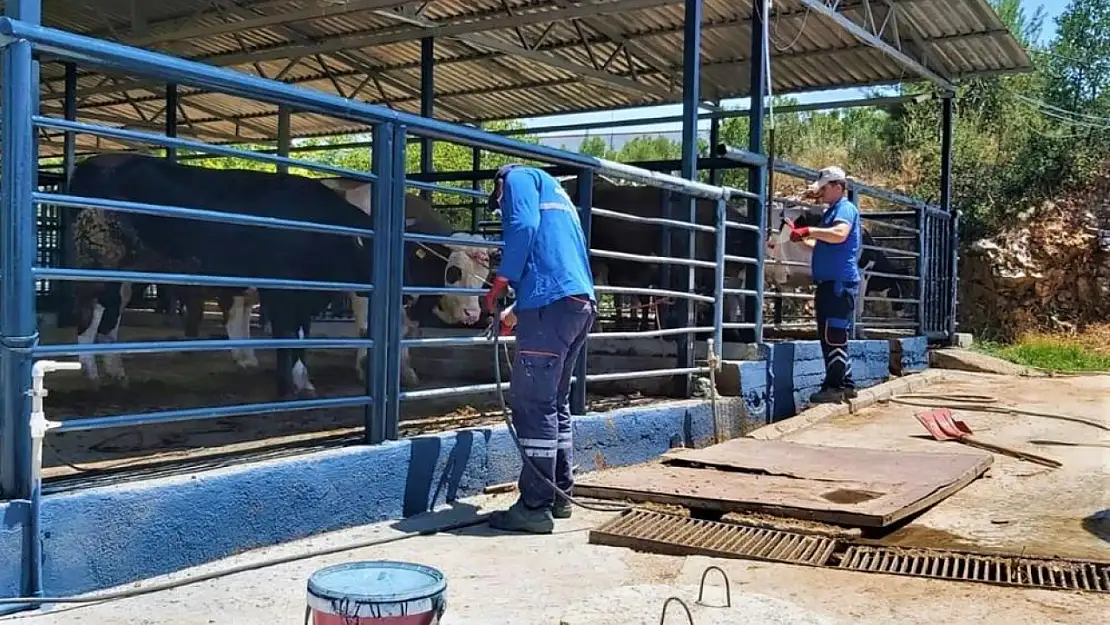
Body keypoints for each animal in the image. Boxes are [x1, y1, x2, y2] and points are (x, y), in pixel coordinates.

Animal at [67, 154, 483, 399]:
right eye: (453, 271)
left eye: (483, 276)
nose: (473, 315)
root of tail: (94, 162)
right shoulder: (293, 291)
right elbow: (308, 335)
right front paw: (308, 381)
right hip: (99, 263)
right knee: (90, 315)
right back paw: (91, 374)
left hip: (126, 274)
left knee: (111, 319)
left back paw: (117, 373)